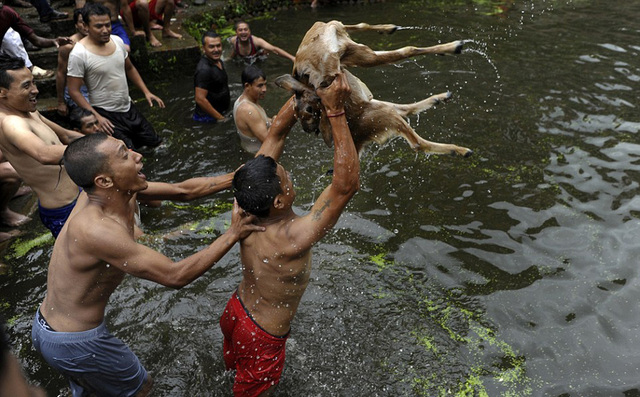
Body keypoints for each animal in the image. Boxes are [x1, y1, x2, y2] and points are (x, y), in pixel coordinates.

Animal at [276, 20, 476, 156]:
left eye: (308, 112)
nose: (310, 129)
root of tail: (358, 139)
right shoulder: (361, 56)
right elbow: (408, 50)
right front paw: (451, 47)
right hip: (383, 110)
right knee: (418, 142)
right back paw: (460, 149)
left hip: (375, 96)